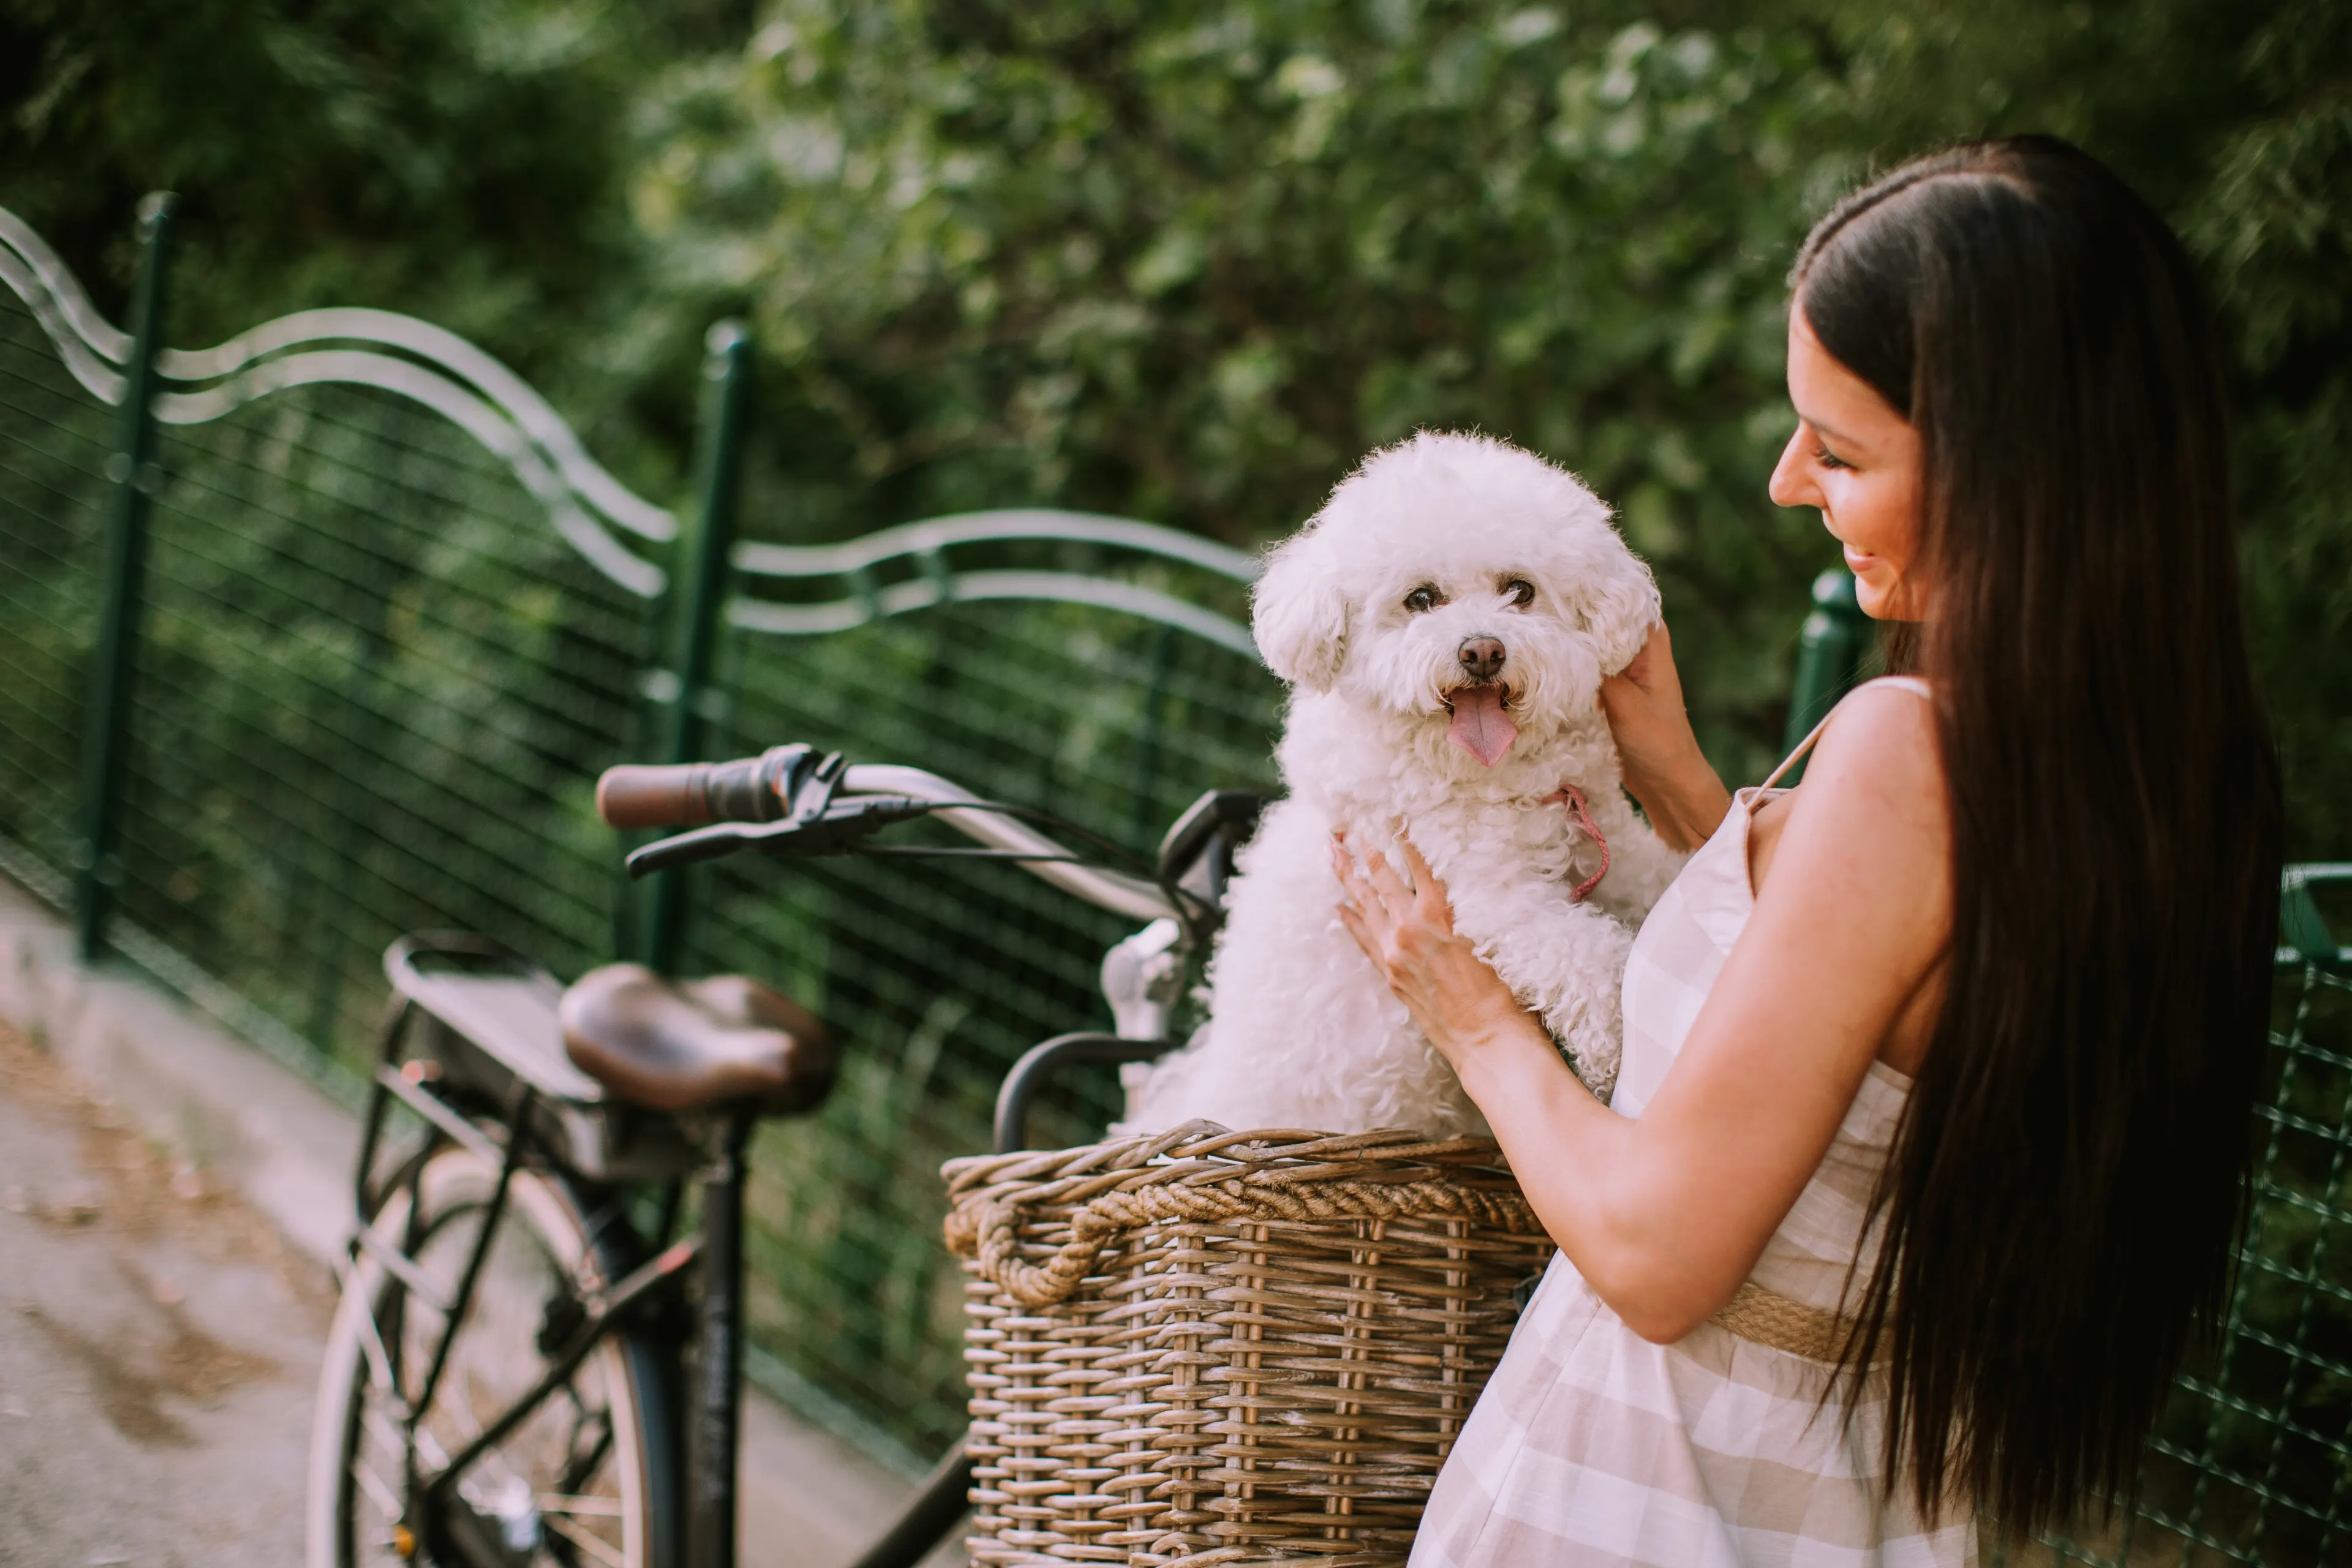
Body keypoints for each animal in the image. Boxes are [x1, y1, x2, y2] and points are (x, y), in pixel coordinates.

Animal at [1129, 430, 1684, 1142]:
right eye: (1421, 599)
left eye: (1520, 590)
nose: (1483, 651)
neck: (1498, 780)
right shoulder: (1490, 896)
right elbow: (1593, 959)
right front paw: (1613, 1050)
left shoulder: (1608, 840)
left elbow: (1662, 879)